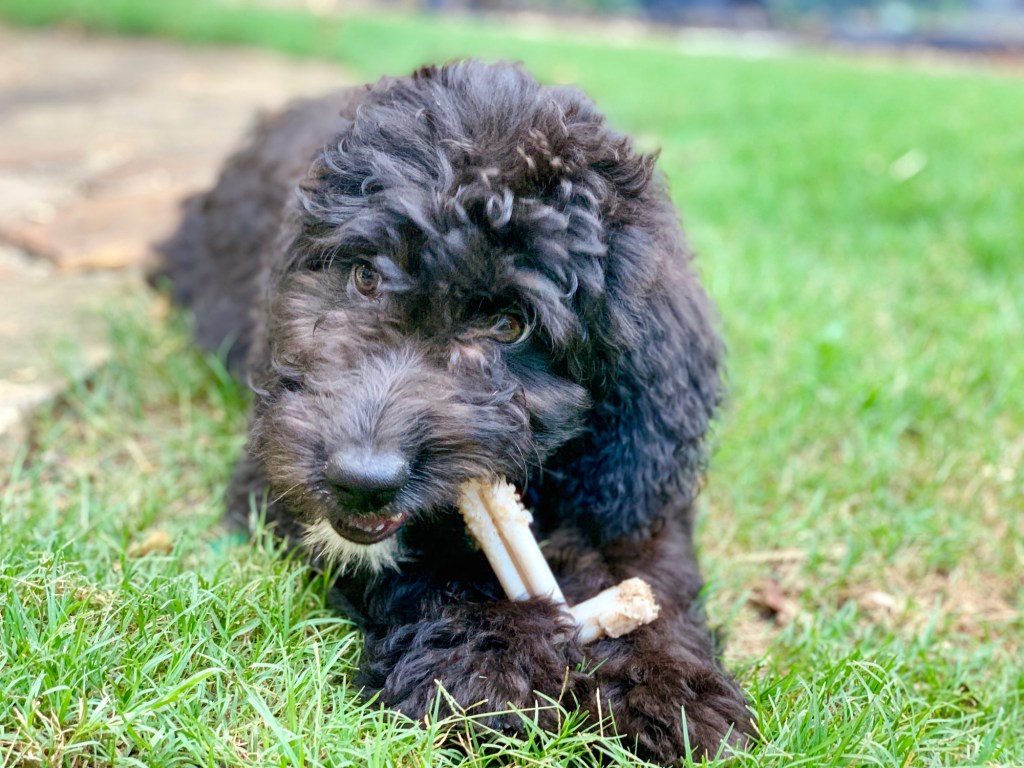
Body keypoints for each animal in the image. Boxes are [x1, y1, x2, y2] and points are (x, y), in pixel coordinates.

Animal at [159, 60, 753, 765]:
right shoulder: (275, 467)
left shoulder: (635, 477)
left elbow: (649, 571)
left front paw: (673, 689)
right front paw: (486, 665)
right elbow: (420, 571)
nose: (361, 480)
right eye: (365, 277)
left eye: (509, 325)